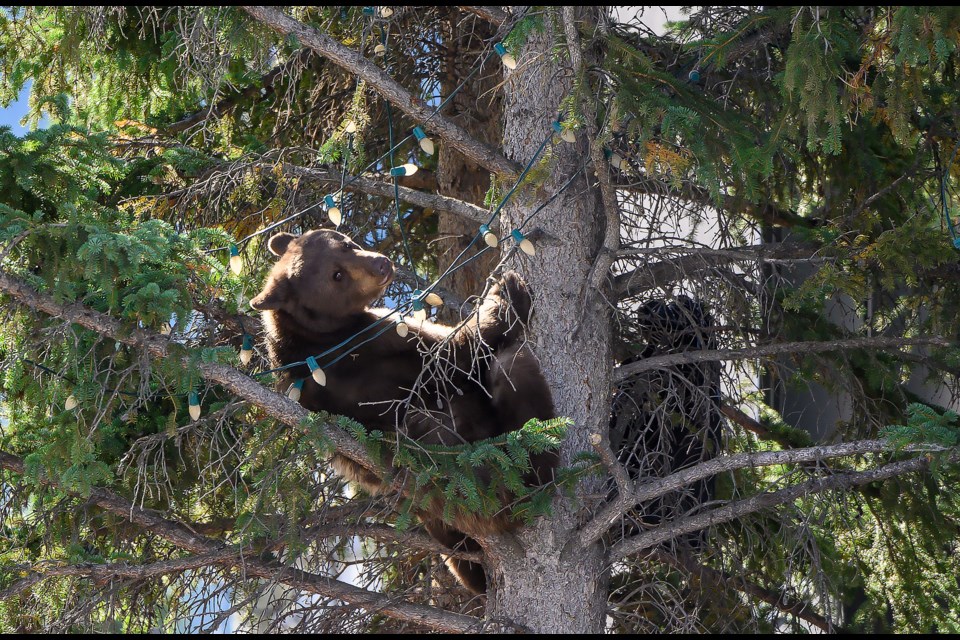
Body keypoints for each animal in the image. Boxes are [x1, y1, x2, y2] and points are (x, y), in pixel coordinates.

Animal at [251, 228, 560, 592]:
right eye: (336, 276)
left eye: (345, 243)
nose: (382, 264)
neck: (313, 339)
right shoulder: (377, 344)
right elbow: (453, 352)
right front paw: (508, 291)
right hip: (503, 475)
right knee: (513, 368)